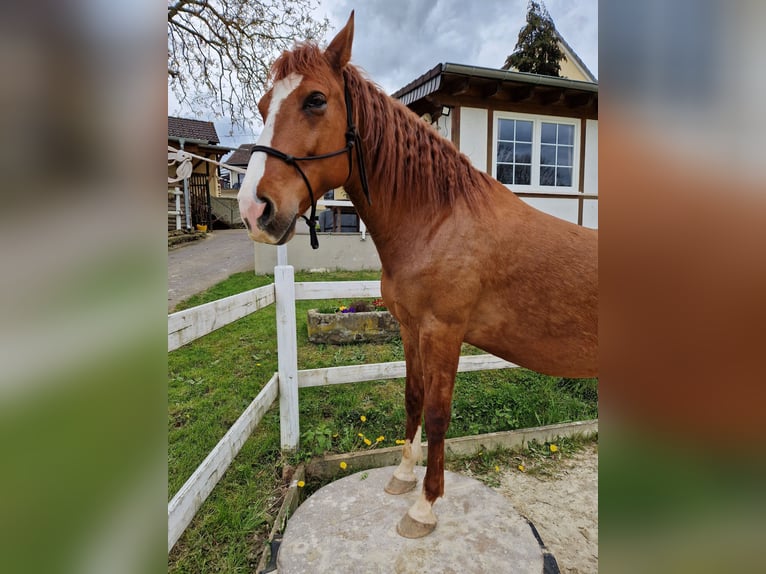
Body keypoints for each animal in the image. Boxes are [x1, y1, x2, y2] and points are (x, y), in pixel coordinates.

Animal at [238, 12, 598, 539]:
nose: (253, 209)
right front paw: (403, 477)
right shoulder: (410, 329)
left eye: (316, 100)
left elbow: (438, 413)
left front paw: (425, 507)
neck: (438, 221)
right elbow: (412, 398)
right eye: (265, 105)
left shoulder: (444, 333)